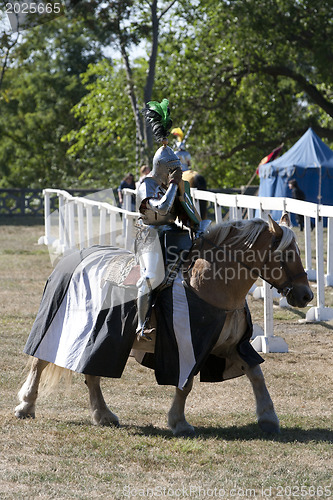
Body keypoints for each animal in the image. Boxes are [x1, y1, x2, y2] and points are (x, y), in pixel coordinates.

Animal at [14, 213, 312, 436]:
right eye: (286, 255)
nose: (306, 295)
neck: (211, 283)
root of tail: (69, 260)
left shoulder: (232, 347)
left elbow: (256, 374)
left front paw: (268, 417)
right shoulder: (186, 347)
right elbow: (185, 383)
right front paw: (179, 422)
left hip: (101, 340)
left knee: (92, 373)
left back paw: (103, 414)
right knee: (40, 361)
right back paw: (26, 405)